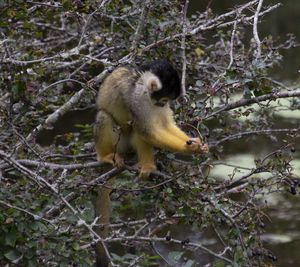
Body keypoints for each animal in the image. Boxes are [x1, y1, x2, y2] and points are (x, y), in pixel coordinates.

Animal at [94, 59, 209, 267]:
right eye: (163, 99)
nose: (163, 104)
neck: (145, 88)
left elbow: (164, 125)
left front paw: (194, 144)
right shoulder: (138, 101)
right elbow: (147, 130)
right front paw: (189, 149)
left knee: (136, 132)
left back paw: (147, 165)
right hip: (118, 143)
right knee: (108, 117)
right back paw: (105, 156)